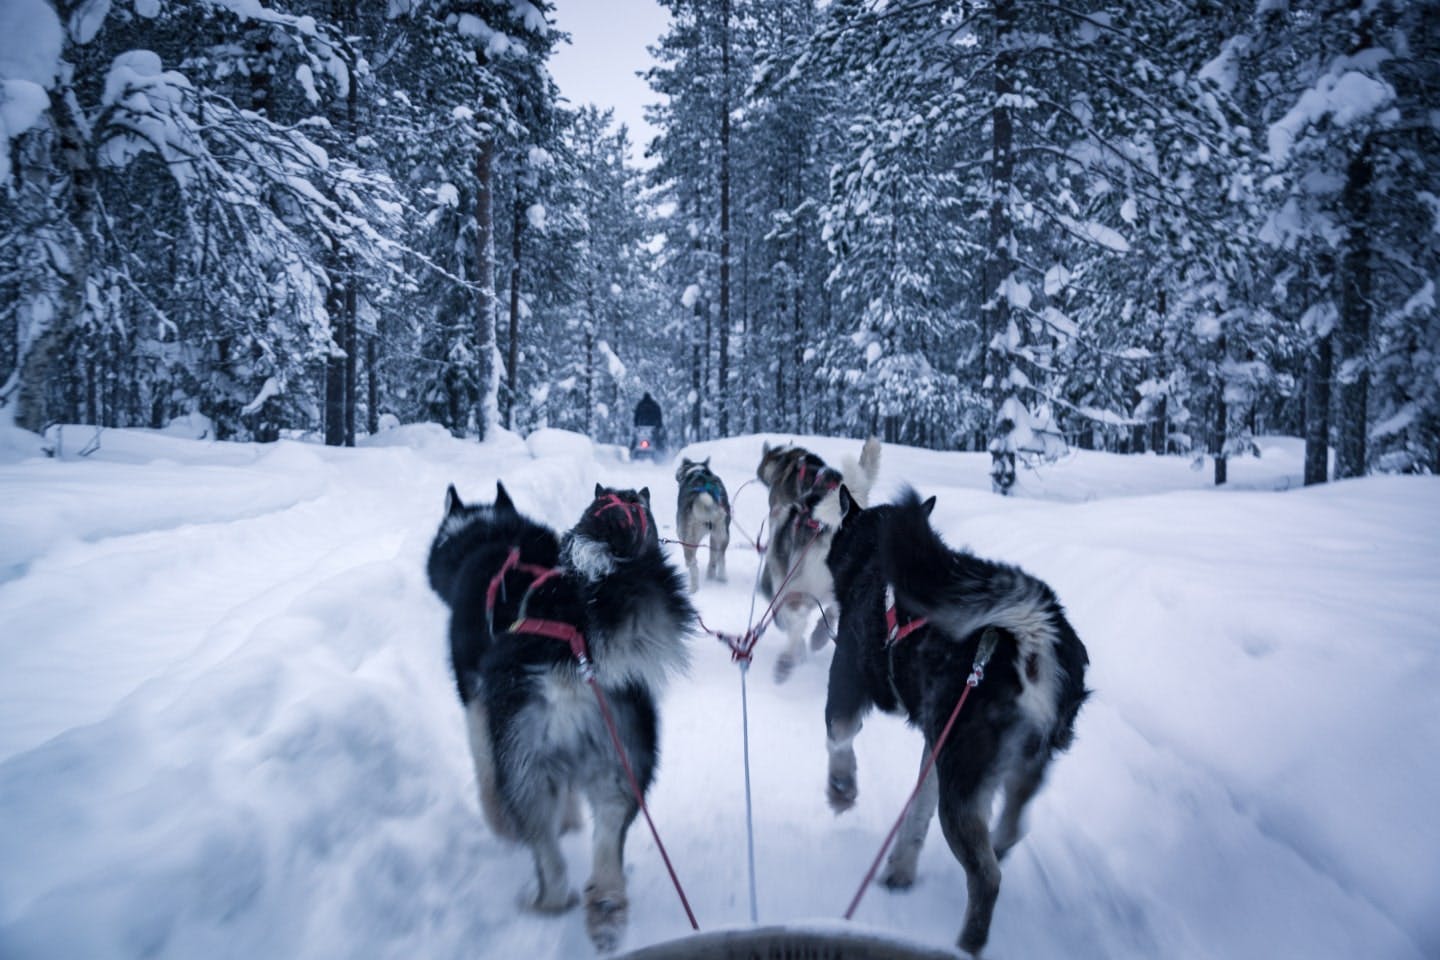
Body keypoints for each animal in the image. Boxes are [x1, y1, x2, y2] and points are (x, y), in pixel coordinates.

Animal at [423, 483, 694, 949]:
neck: (493, 539)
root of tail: (569, 661)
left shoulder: (476, 703)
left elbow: (484, 774)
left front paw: (499, 823)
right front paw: (569, 820)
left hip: (522, 766)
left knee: (546, 853)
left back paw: (546, 899)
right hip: (620, 766)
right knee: (608, 839)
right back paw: (606, 909)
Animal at [673, 454, 731, 590]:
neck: (697, 471)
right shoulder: (714, 537)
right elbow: (713, 557)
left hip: (689, 538)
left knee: (693, 562)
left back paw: (694, 588)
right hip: (722, 533)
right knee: (720, 556)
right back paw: (720, 578)